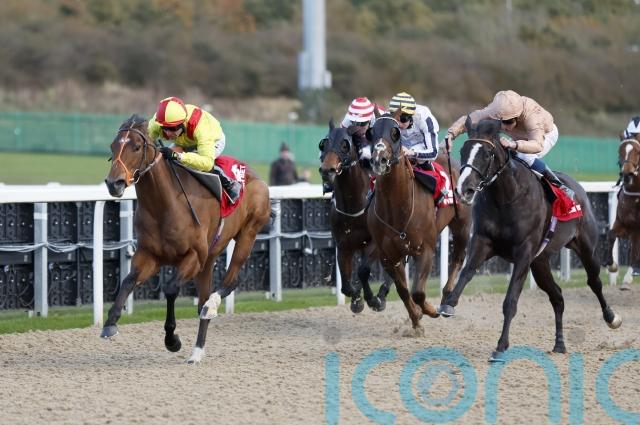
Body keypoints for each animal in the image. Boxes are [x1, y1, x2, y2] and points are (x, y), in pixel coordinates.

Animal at [103, 114, 271, 364]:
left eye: (136, 147)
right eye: (113, 146)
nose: (114, 183)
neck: (165, 205)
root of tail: (255, 176)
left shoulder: (193, 257)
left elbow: (171, 289)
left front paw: (172, 340)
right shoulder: (149, 255)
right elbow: (128, 281)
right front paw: (110, 323)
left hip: (247, 234)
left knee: (230, 280)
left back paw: (211, 307)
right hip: (209, 258)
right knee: (207, 296)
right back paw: (197, 351)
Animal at [318, 122, 393, 313]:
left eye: (345, 144)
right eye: (324, 143)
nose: (327, 170)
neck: (353, 206)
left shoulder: (374, 243)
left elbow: (363, 271)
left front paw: (372, 300)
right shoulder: (343, 244)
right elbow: (346, 283)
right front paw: (356, 298)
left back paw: (382, 294)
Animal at [365, 115, 472, 334]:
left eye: (395, 133)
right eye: (371, 132)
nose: (379, 160)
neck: (397, 208)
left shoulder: (425, 249)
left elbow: (418, 292)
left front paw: (430, 310)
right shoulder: (388, 256)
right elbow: (403, 290)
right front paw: (416, 319)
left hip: (462, 226)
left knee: (458, 258)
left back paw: (447, 299)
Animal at [438, 117, 622, 361]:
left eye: (487, 153)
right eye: (463, 151)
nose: (464, 189)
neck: (506, 197)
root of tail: (578, 188)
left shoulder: (523, 253)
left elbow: (510, 300)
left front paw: (501, 346)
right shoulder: (483, 241)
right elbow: (467, 272)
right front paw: (448, 305)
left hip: (586, 248)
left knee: (594, 282)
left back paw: (612, 317)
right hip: (540, 262)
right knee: (558, 297)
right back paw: (559, 344)